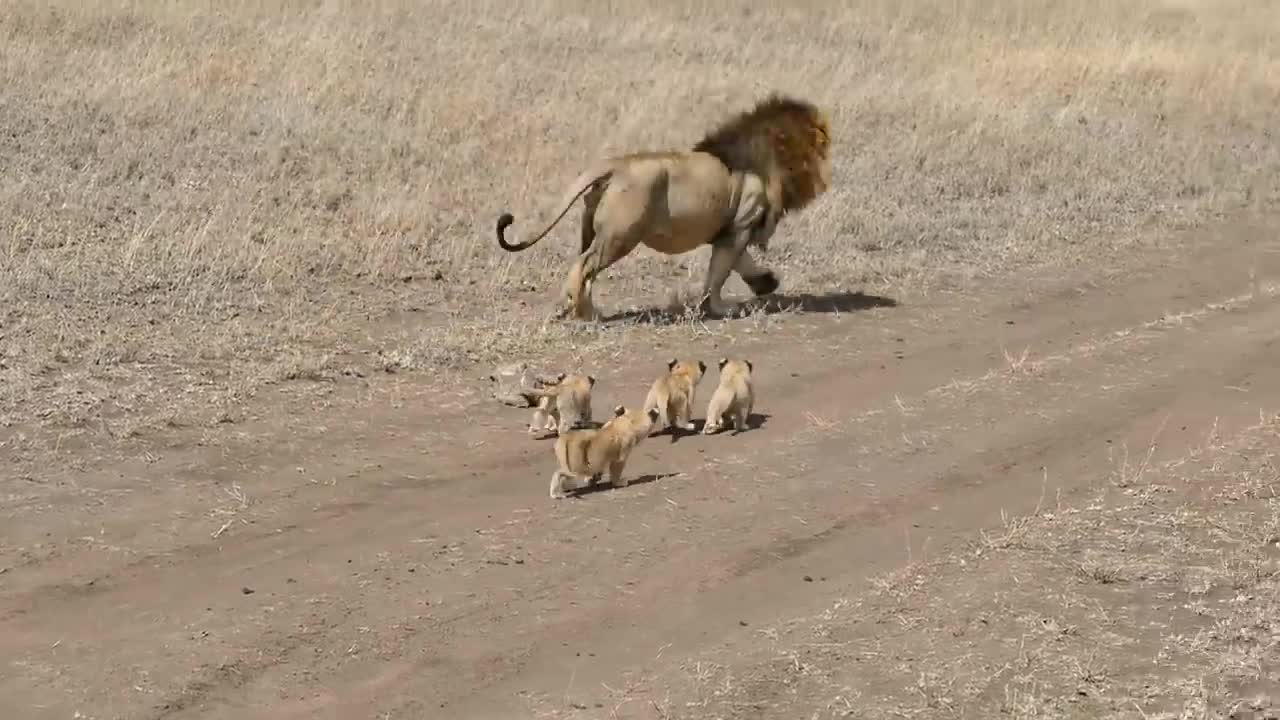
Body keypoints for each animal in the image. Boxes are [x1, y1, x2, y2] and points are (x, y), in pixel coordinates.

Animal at [488, 94, 829, 317]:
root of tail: (614, 166)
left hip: (593, 228)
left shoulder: (727, 229)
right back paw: (583, 312)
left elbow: (739, 263)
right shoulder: (742, 224)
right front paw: (720, 308)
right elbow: (719, 272)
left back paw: (580, 308)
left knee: (584, 268)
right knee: (584, 265)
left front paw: (765, 283)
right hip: (621, 235)